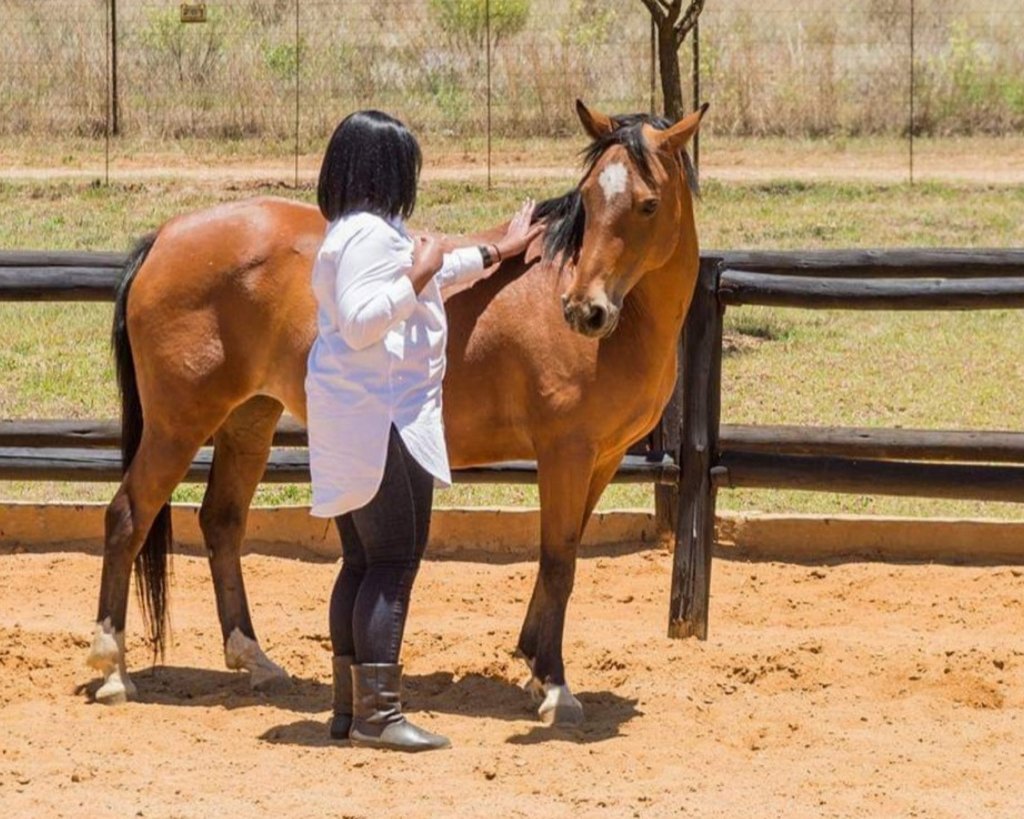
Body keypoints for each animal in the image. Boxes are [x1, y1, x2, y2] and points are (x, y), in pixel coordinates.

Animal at [86, 100, 707, 726]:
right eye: (588, 199)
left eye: (648, 204)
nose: (584, 311)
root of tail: (165, 237)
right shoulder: (566, 454)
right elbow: (558, 561)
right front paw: (555, 687)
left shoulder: (602, 460)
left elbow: (566, 553)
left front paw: (533, 663)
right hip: (179, 423)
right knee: (127, 517)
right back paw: (112, 669)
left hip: (249, 420)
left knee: (222, 522)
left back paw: (254, 658)